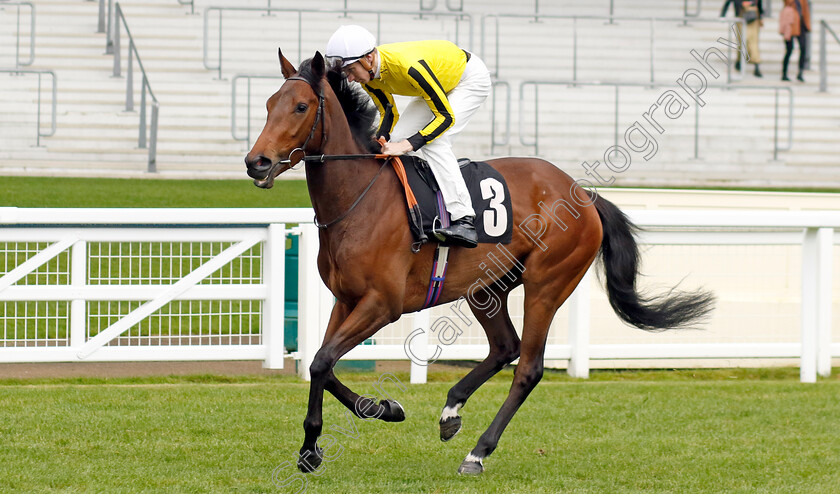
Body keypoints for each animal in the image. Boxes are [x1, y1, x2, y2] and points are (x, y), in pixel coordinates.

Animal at [246, 50, 712, 474]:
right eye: (268, 104)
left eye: (301, 106)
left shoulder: (383, 304)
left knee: (528, 368)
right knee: (505, 346)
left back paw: (478, 452)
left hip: (547, 285)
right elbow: (320, 363)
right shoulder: (346, 300)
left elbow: (322, 361)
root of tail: (583, 194)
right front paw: (377, 411)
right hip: (487, 288)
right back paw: (451, 410)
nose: (256, 162)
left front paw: (314, 448)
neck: (360, 198)